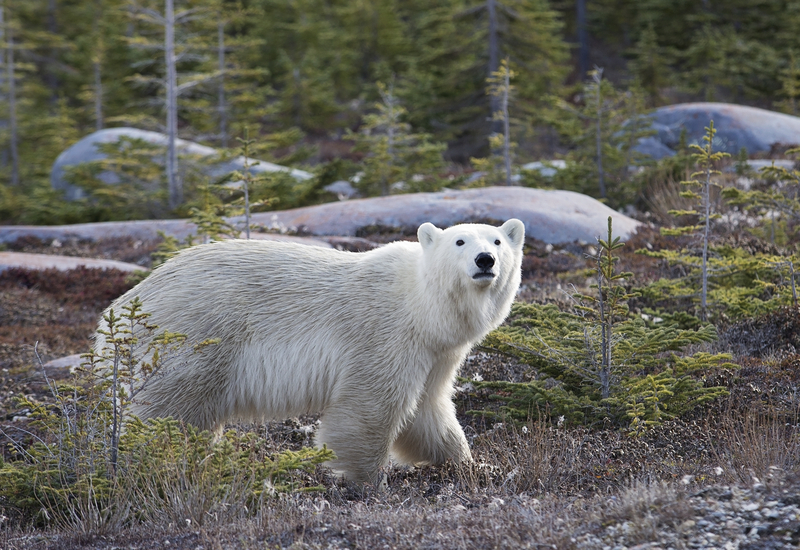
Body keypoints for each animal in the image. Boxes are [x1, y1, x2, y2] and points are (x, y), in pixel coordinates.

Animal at [95, 219, 524, 484]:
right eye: (460, 241)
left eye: (498, 241)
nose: (485, 260)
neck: (422, 305)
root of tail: (122, 308)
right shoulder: (386, 334)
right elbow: (368, 408)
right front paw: (364, 481)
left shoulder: (437, 352)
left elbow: (428, 411)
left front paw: (474, 465)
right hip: (195, 337)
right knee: (169, 412)